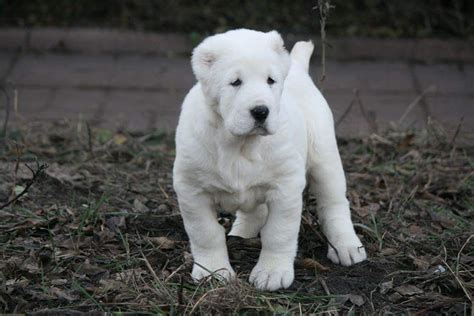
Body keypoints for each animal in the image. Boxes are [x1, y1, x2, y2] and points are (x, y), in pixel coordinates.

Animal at [173, 29, 366, 292]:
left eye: (270, 80)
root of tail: (297, 66)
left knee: (334, 204)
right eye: (236, 82)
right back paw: (242, 232)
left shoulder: (285, 187)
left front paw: (271, 272)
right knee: (254, 211)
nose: (261, 111)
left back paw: (347, 245)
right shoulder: (191, 189)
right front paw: (213, 272)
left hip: (325, 159)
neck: (240, 144)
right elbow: (205, 233)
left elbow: (278, 232)